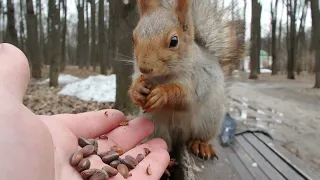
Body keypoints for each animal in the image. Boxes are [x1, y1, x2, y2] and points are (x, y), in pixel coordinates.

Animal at [127, 0, 242, 160]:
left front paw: (162, 94)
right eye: (133, 38)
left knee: (200, 136)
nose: (145, 68)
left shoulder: (196, 80)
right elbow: (136, 84)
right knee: (164, 142)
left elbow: (185, 96)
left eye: (174, 41)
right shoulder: (138, 73)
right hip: (154, 125)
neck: (162, 77)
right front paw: (137, 90)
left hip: (209, 120)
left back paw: (201, 145)